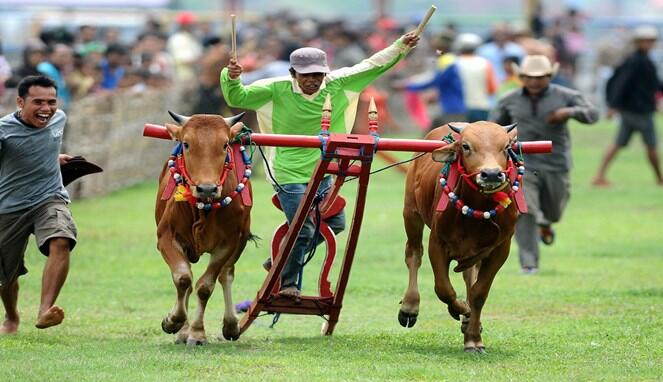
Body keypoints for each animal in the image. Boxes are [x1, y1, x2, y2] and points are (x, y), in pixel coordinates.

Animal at [154, 111, 253, 346]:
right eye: (186, 143)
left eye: (224, 144)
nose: (206, 188)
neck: (203, 210)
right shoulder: (165, 237)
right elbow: (183, 278)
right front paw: (173, 322)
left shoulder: (229, 242)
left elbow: (205, 286)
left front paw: (197, 333)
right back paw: (182, 331)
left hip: (240, 241)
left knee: (226, 274)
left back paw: (231, 325)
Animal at [402, 121, 520, 352]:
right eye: (466, 146)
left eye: (506, 147)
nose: (491, 174)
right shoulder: (437, 243)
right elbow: (443, 289)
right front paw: (461, 309)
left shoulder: (501, 249)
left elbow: (478, 293)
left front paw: (473, 337)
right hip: (411, 213)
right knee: (413, 255)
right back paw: (410, 307)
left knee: (469, 276)